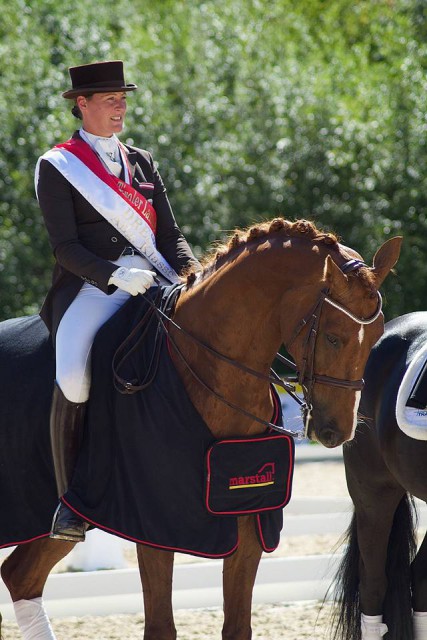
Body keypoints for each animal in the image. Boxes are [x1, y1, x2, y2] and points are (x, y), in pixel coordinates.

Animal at [0, 218, 402, 636]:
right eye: (333, 337)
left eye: (376, 337)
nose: (336, 431)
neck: (212, 367)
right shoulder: (154, 523)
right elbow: (161, 627)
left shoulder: (249, 519)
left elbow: (238, 625)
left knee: (21, 576)